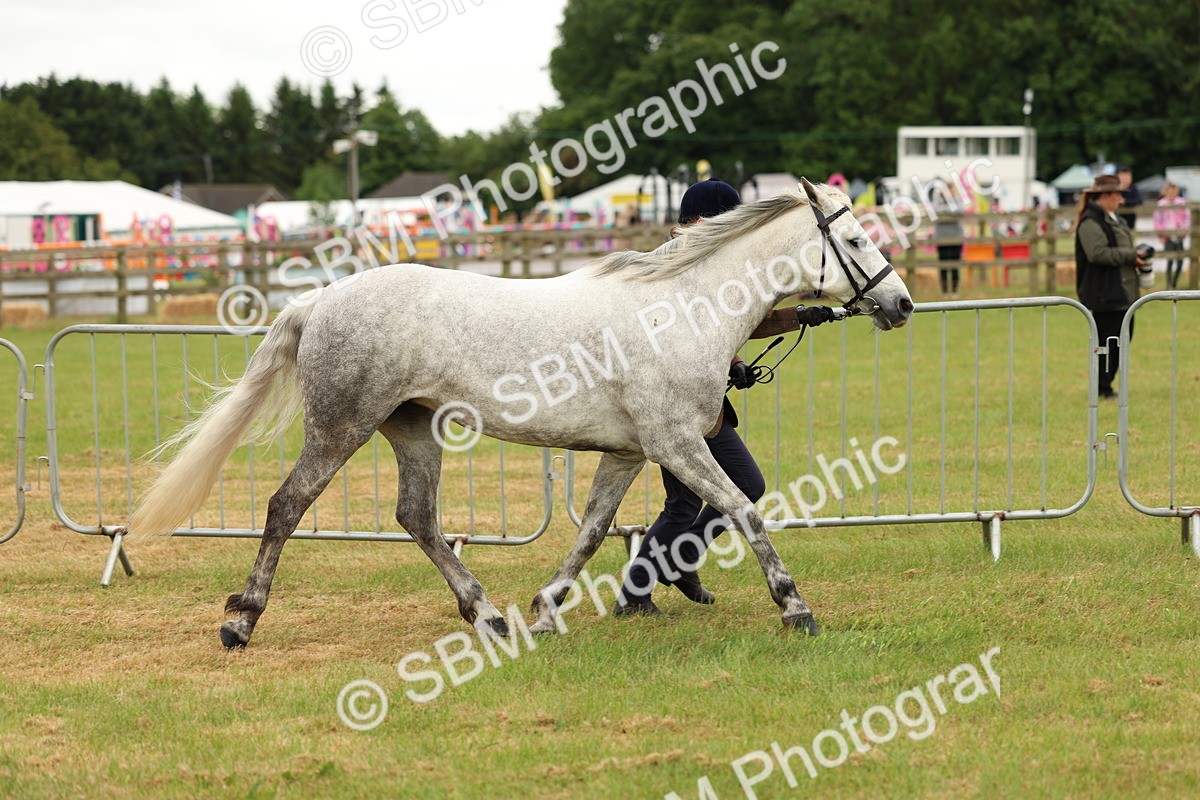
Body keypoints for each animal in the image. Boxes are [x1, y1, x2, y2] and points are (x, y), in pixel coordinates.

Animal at [128, 178, 913, 648]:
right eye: (854, 240)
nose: (901, 303)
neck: (680, 309)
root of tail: (321, 299)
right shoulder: (676, 445)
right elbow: (746, 511)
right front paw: (796, 608)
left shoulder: (629, 453)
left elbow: (593, 531)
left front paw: (546, 608)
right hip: (341, 426)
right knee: (287, 504)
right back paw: (242, 620)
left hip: (413, 428)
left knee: (417, 517)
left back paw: (488, 615)